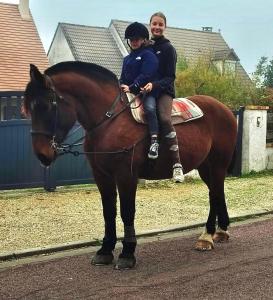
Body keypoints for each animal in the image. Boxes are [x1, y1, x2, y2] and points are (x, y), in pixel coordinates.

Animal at [22, 61, 236, 270]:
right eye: (29, 109)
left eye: (47, 105)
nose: (42, 154)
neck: (111, 121)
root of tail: (225, 109)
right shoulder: (102, 176)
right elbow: (108, 211)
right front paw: (105, 251)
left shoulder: (126, 175)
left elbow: (127, 212)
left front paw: (127, 253)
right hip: (205, 167)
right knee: (216, 193)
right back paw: (220, 231)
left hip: (217, 164)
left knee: (215, 193)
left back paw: (207, 236)